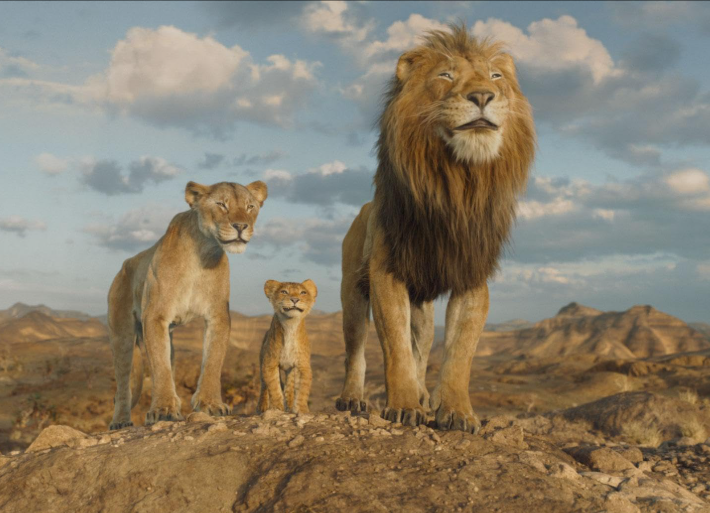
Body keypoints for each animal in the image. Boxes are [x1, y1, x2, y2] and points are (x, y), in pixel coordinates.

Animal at [107, 180, 268, 429]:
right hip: (121, 334)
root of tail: (124, 266)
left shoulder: (218, 315)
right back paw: (120, 421)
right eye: (221, 204)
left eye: (250, 206)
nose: (241, 226)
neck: (202, 252)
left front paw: (211, 404)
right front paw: (163, 410)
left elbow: (213, 360)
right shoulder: (155, 316)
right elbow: (160, 367)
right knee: (123, 383)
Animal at [257, 279, 317, 414]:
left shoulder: (302, 365)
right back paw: (262, 406)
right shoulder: (269, 364)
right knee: (263, 385)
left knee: (289, 388)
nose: (295, 299)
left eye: (303, 292)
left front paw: (301, 410)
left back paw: (289, 406)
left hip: (291, 370)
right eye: (284, 292)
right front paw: (277, 408)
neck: (290, 325)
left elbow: (302, 390)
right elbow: (274, 388)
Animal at [335, 24, 535, 432]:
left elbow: (460, 352)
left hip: (423, 309)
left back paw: (424, 394)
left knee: (422, 348)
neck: (457, 183)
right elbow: (395, 347)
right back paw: (352, 399)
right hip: (352, 292)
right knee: (356, 349)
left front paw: (457, 412)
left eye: (496, 76)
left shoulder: (471, 275)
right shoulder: (386, 272)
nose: (483, 96)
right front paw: (403, 405)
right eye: (446, 75)